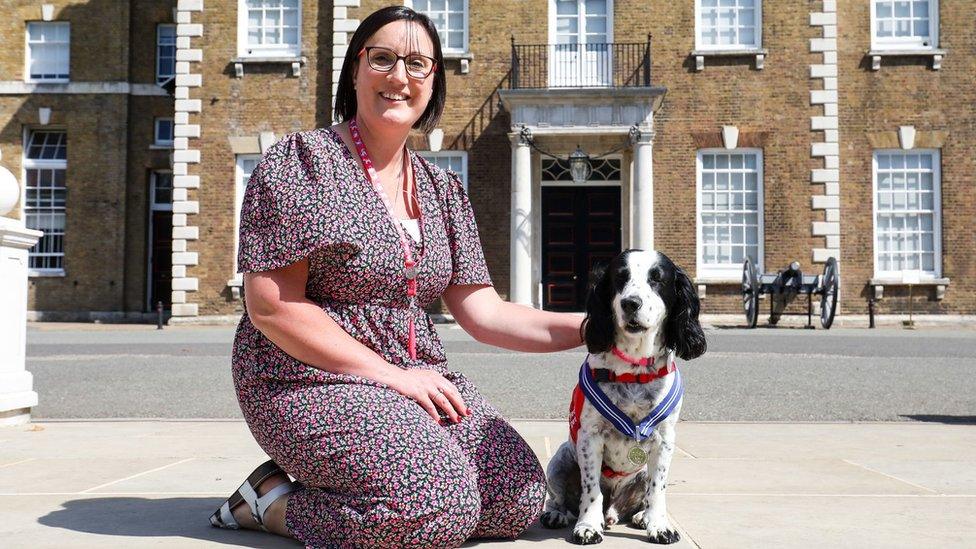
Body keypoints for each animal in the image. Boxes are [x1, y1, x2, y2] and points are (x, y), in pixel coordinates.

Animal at [540, 248, 700, 544]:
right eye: (620, 278)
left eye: (657, 279)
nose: (630, 303)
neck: (634, 371)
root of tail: (613, 509)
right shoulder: (590, 438)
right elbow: (591, 488)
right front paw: (588, 525)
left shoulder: (664, 440)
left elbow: (657, 489)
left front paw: (659, 525)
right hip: (561, 460)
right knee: (559, 498)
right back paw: (558, 514)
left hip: (638, 474)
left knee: (643, 497)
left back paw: (640, 517)